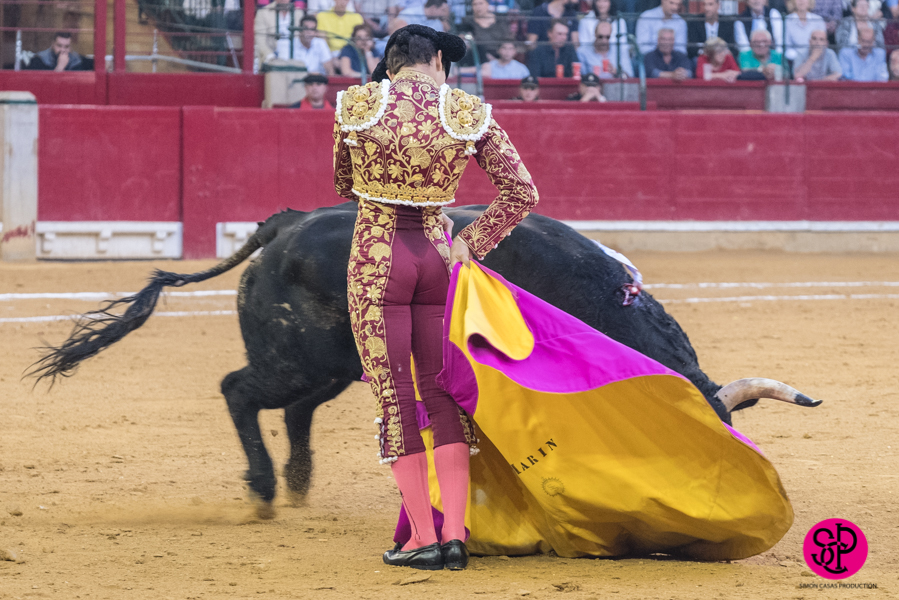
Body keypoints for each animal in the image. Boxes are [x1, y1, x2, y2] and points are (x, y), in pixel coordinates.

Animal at [30, 203, 821, 518]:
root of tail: (285, 225)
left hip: (332, 363)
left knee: (292, 408)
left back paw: (297, 482)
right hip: (297, 356)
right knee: (240, 391)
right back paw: (263, 489)